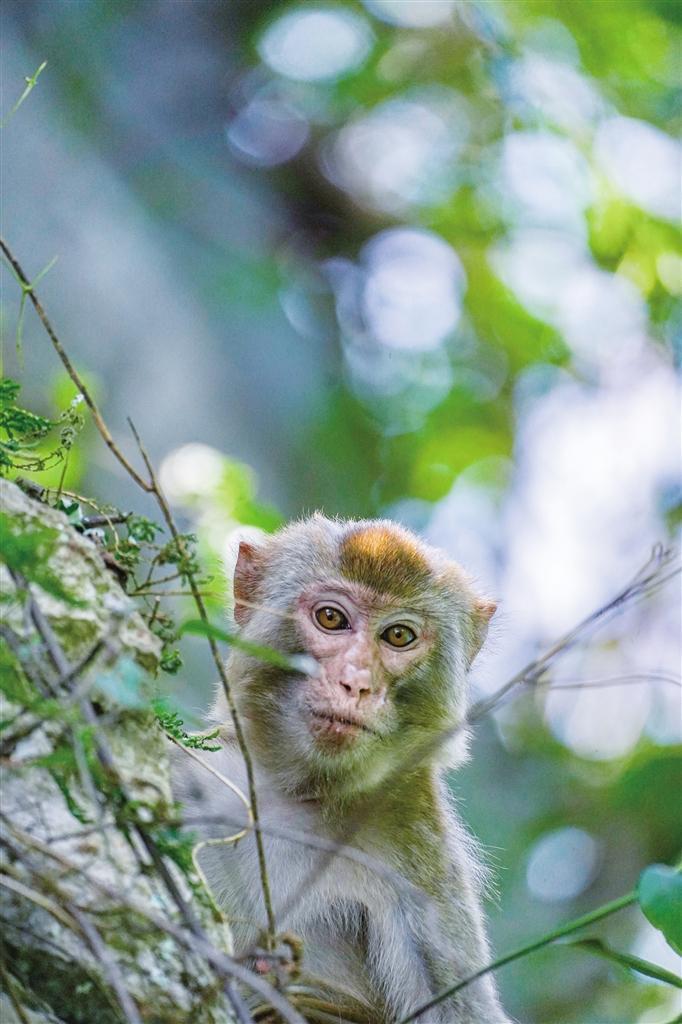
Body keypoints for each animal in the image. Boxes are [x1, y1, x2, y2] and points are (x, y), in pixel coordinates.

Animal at [172, 515, 511, 1023]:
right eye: (332, 618)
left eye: (398, 636)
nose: (357, 683)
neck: (303, 790)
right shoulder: (194, 772)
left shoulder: (422, 853)